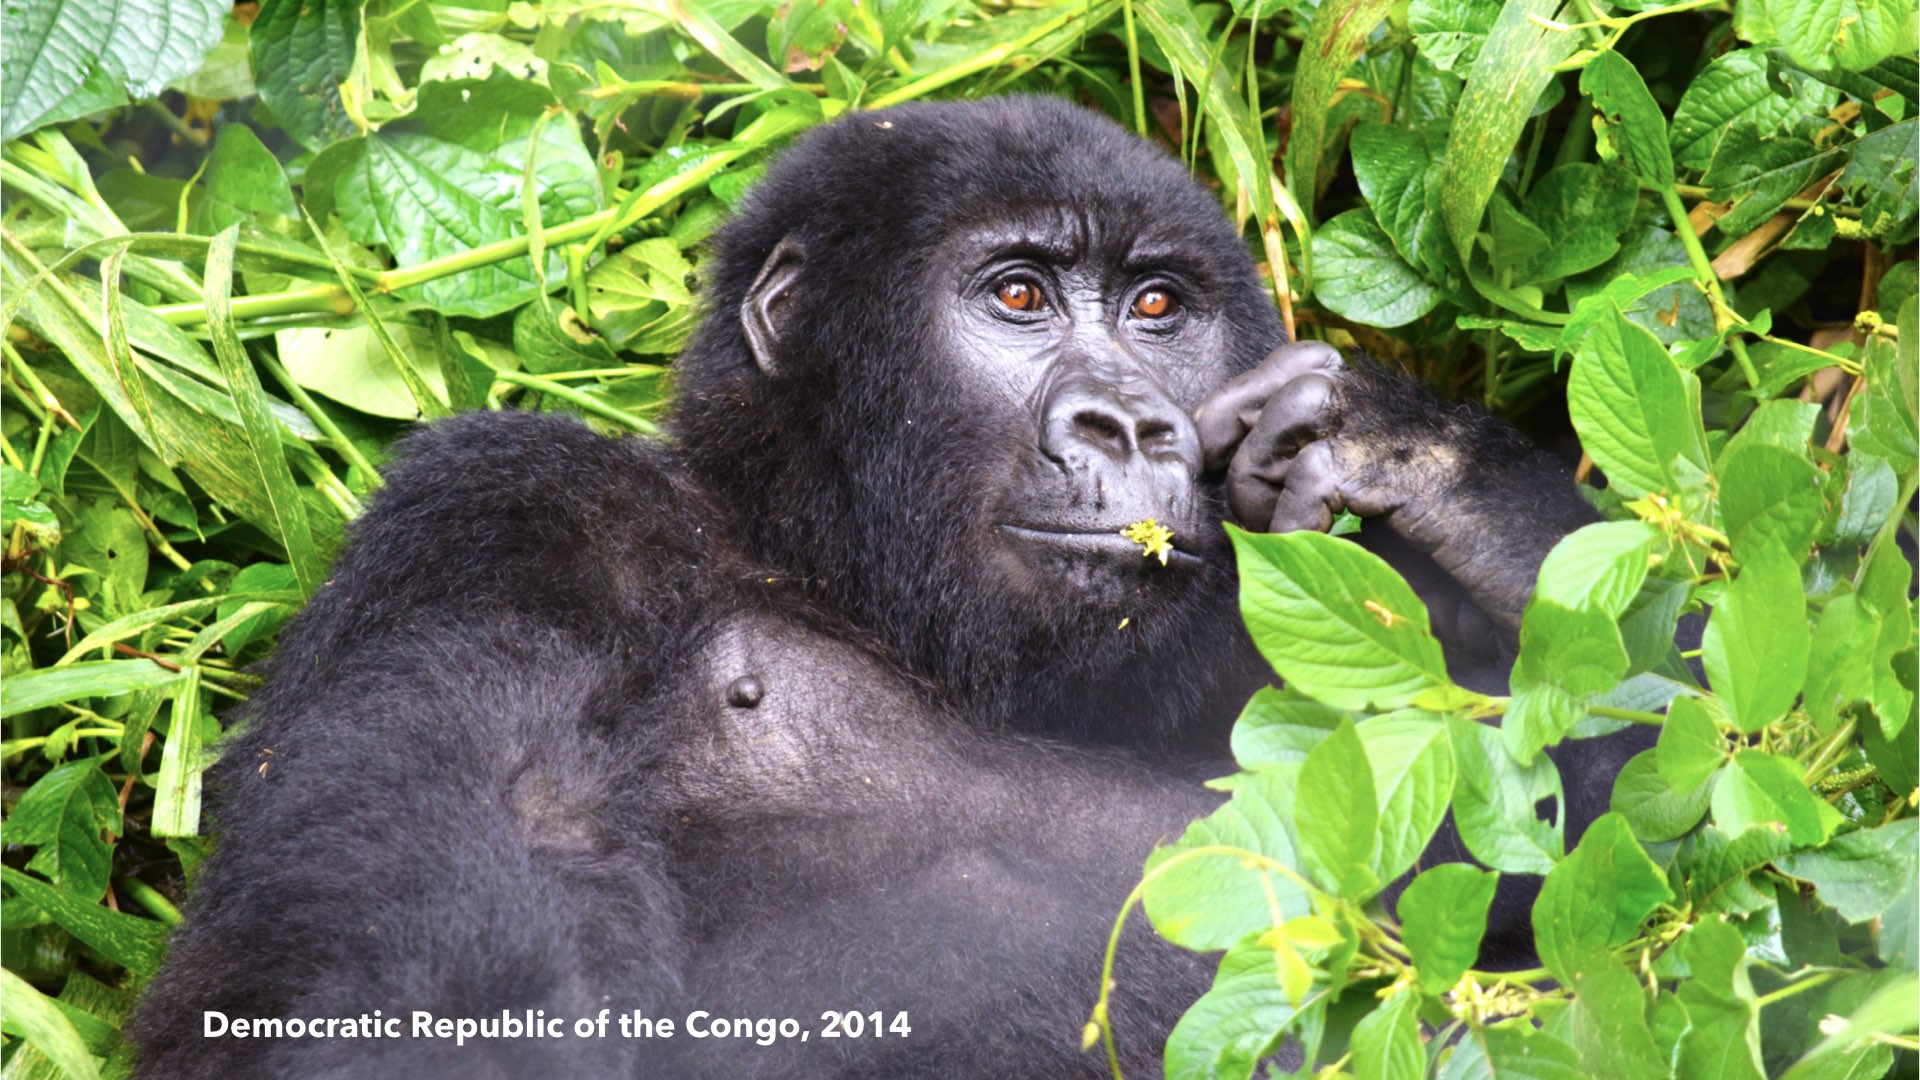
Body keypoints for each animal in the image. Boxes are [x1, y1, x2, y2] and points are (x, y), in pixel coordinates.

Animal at [135, 96, 1635, 1068]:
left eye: (1158, 308)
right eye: (1019, 296)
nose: (1133, 426)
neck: (832, 568)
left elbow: (1610, 863)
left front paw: (1420, 463)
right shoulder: (509, 514)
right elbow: (414, 971)